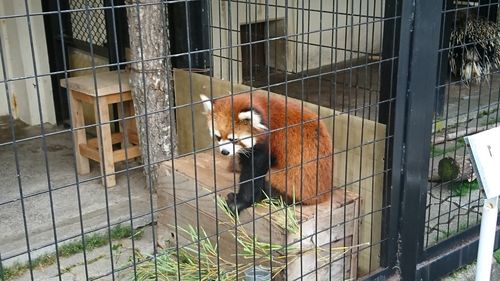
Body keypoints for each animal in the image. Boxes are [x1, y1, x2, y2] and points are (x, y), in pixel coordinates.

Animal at [198, 92, 332, 212]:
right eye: (218, 137)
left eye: (234, 139)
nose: (224, 152)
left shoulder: (267, 144)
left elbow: (253, 173)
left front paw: (239, 202)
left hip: (295, 181)